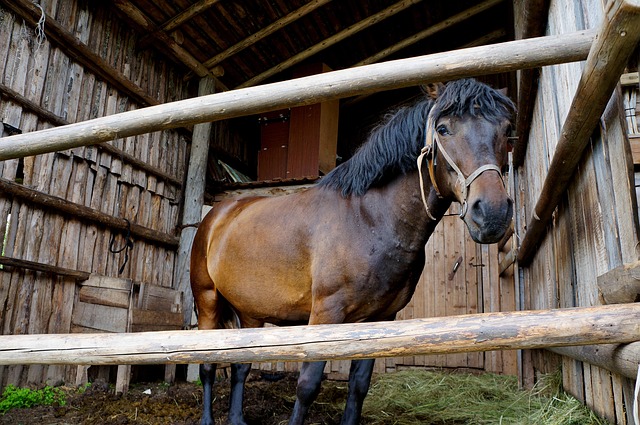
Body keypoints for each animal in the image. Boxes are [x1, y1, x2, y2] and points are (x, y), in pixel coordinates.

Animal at [190, 78, 515, 425]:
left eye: (506, 129)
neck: (368, 218)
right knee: (208, 366)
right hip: (207, 301)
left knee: (240, 365)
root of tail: (217, 214)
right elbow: (307, 386)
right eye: (443, 129)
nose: (492, 213)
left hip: (249, 312)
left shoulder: (379, 319)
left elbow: (358, 387)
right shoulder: (325, 316)